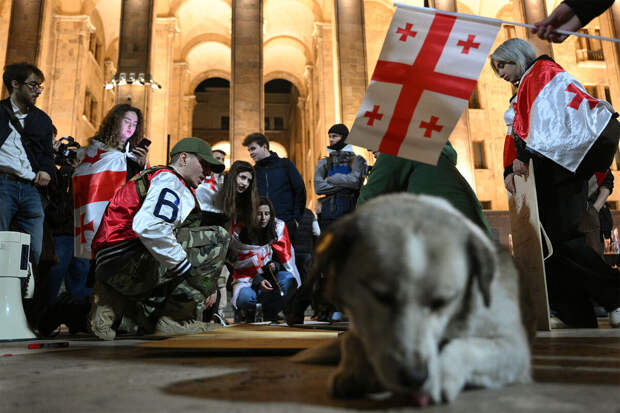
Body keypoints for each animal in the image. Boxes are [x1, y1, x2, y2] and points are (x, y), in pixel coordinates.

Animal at [294, 194, 536, 406]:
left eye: (442, 301)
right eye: (380, 296)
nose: (414, 376)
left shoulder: (514, 349)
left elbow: (466, 347)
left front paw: (442, 374)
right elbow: (351, 340)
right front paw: (352, 371)